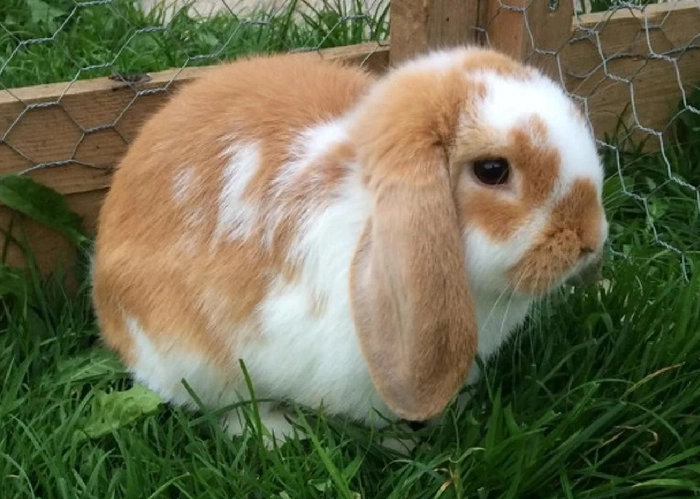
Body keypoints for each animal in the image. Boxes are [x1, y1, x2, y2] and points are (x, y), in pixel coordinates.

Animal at [91, 45, 608, 447]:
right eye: (493, 170)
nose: (590, 238)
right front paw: (404, 444)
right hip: (189, 359)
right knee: (224, 407)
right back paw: (278, 433)